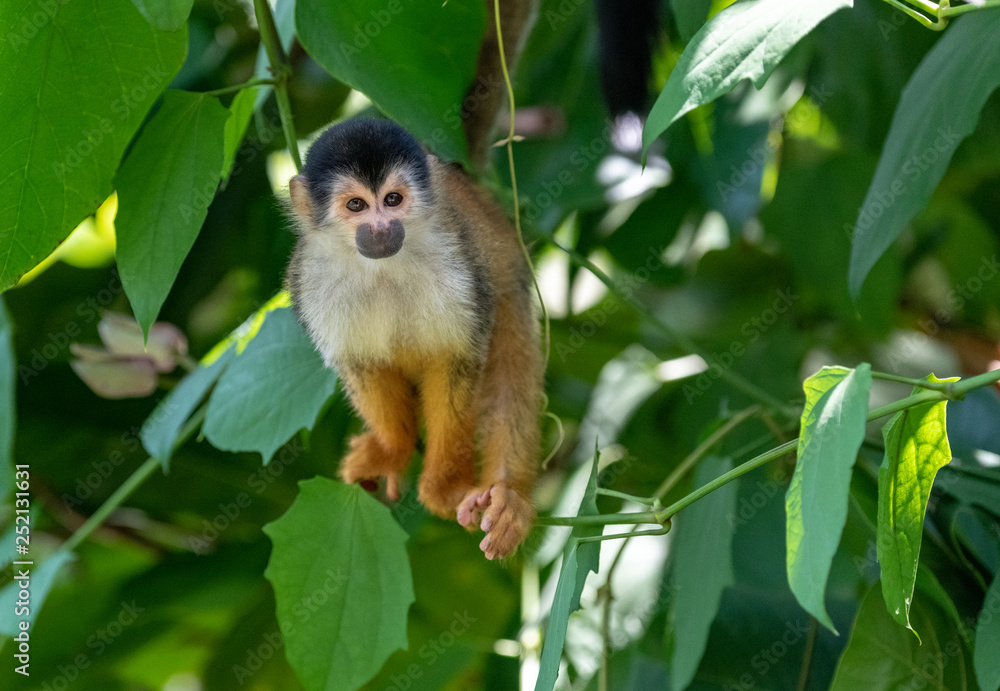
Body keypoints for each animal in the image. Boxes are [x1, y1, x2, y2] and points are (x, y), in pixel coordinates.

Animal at [284, 118, 542, 560]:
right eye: (356, 206)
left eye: (392, 199)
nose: (381, 229)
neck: (381, 269)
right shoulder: (310, 280)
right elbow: (361, 364)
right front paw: (393, 449)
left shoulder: (460, 267)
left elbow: (455, 360)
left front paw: (446, 487)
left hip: (508, 287)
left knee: (510, 362)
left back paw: (507, 497)